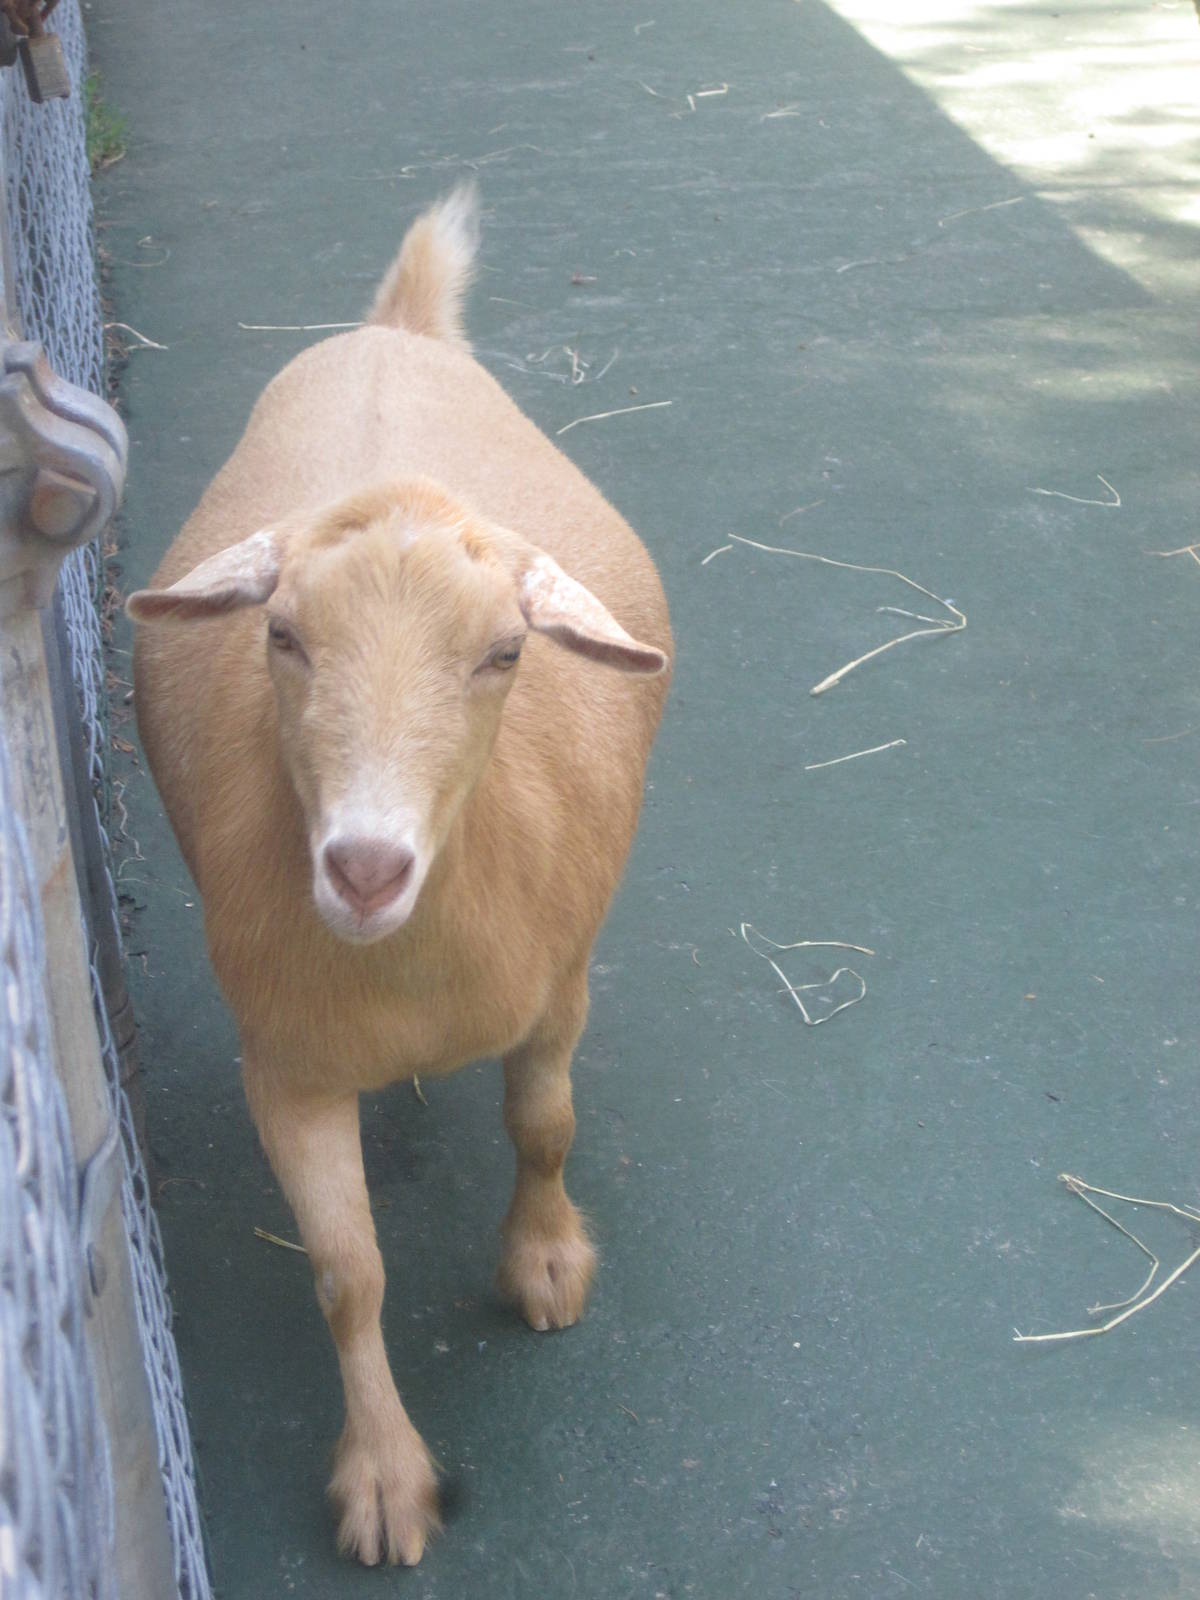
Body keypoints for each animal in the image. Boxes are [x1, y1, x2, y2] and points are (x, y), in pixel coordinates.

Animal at [126, 186, 671, 1566]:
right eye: (281, 635)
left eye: (503, 654)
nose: (365, 867)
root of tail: (396, 328)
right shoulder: (287, 1066)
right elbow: (346, 1271)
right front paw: (383, 1478)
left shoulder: (559, 987)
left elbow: (545, 1125)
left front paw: (544, 1266)